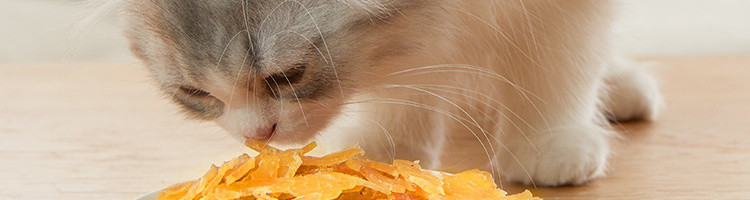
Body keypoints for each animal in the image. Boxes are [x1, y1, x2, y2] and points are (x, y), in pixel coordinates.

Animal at [125, 0, 664, 187]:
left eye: (288, 76)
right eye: (196, 92)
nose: (259, 134)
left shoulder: (564, 10)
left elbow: (560, 59)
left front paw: (548, 140)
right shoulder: (409, 42)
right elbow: (407, 75)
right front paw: (390, 152)